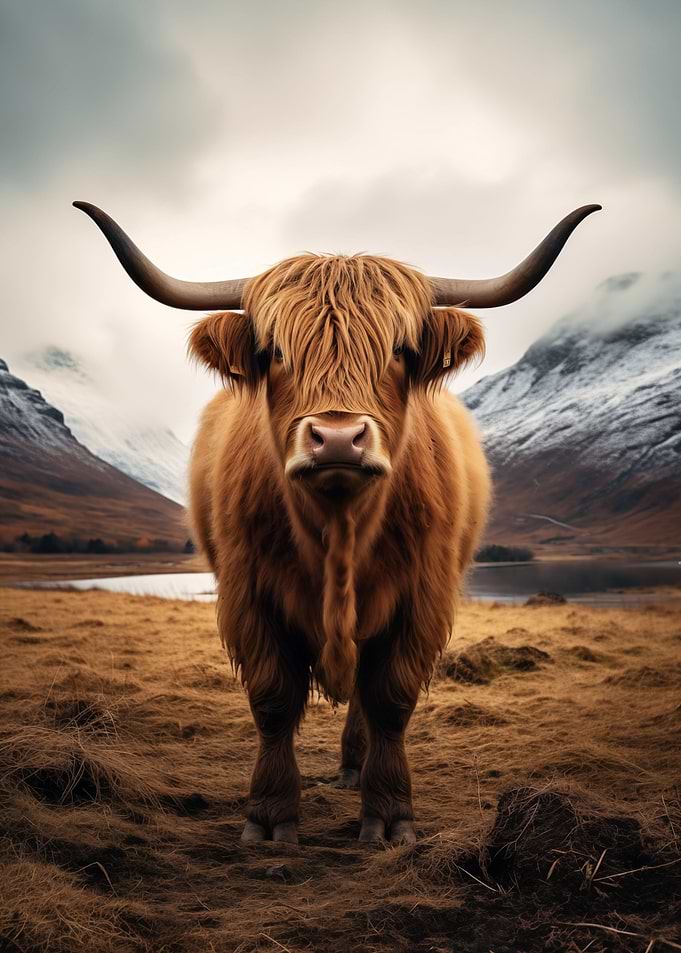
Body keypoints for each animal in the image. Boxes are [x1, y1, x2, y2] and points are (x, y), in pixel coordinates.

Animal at [74, 201, 600, 845]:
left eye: (399, 350)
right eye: (276, 352)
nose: (339, 438)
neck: (340, 528)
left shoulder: (421, 598)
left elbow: (391, 699)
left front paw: (391, 816)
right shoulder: (249, 594)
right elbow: (274, 700)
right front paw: (269, 816)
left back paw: (355, 768)